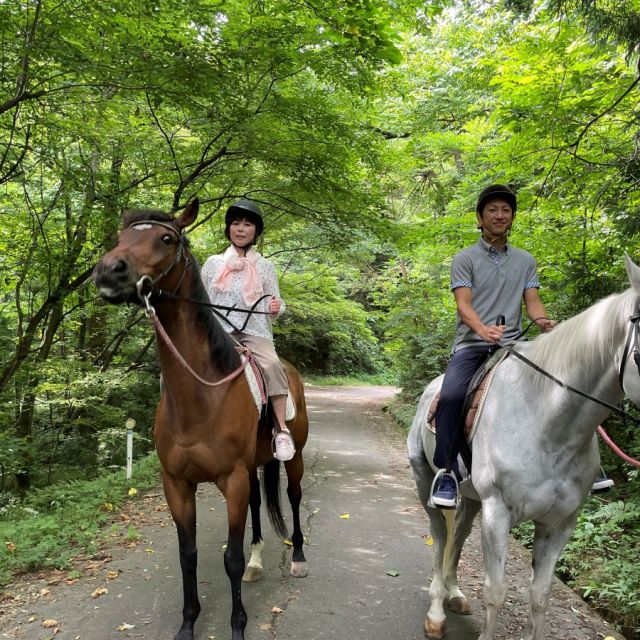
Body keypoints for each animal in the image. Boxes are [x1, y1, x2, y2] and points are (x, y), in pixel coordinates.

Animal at [92, 200, 308, 640]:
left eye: (166, 238)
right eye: (121, 237)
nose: (108, 270)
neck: (200, 397)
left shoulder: (232, 479)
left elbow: (230, 558)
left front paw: (238, 626)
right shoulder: (177, 483)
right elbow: (187, 554)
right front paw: (188, 623)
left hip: (292, 457)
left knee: (293, 497)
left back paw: (297, 557)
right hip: (253, 467)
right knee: (259, 503)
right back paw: (259, 561)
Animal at [408, 255, 640, 640]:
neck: (548, 423)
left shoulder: (560, 523)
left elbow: (540, 596)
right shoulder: (498, 512)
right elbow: (495, 591)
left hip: (472, 498)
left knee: (459, 534)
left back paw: (455, 593)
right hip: (425, 478)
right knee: (440, 536)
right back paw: (437, 612)